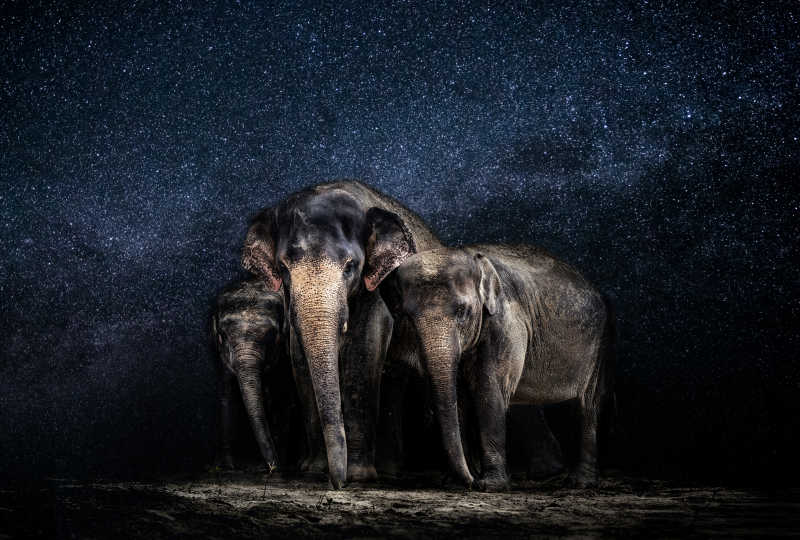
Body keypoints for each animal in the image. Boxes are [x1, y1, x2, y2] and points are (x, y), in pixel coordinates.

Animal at [211, 277, 288, 472]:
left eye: (274, 336)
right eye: (222, 336)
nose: (272, 467)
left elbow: (283, 397)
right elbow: (227, 395)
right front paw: (228, 466)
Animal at [241, 180, 442, 488]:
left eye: (350, 266)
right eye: (284, 267)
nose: (337, 484)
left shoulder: (377, 289)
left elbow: (363, 353)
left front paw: (357, 476)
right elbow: (300, 360)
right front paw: (314, 471)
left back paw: (386, 473)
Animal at [372, 242, 615, 491]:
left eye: (463, 311)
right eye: (406, 316)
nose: (472, 480)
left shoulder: (506, 322)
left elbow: (488, 389)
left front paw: (490, 485)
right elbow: (459, 396)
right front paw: (454, 482)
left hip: (600, 345)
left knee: (588, 404)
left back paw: (579, 482)